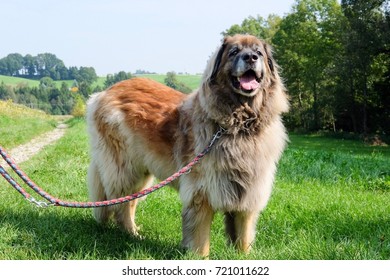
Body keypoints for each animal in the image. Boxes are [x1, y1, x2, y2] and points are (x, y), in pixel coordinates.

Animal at [87, 34, 290, 258]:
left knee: (129, 200)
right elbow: (200, 237)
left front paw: (243, 256)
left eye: (258, 52)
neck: (238, 125)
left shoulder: (249, 193)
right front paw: (200, 257)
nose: (251, 57)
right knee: (121, 202)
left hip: (141, 170)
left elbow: (243, 234)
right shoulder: (202, 192)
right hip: (125, 168)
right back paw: (131, 233)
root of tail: (102, 93)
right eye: (234, 52)